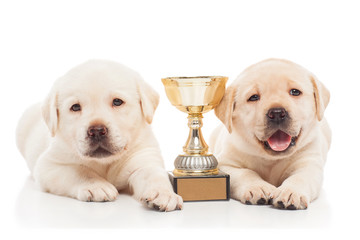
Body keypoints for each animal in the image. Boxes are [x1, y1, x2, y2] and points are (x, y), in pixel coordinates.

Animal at [16, 60, 183, 212]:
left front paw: (163, 193)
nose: (96, 131)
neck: (105, 163)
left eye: (117, 102)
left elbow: (153, 175)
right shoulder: (49, 165)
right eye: (75, 107)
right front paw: (96, 185)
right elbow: (78, 171)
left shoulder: (144, 156)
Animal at [211, 58, 332, 210]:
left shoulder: (309, 163)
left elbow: (300, 177)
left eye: (295, 92)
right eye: (254, 97)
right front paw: (258, 187)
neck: (271, 159)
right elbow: (245, 172)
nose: (277, 113)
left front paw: (290, 192)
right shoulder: (225, 164)